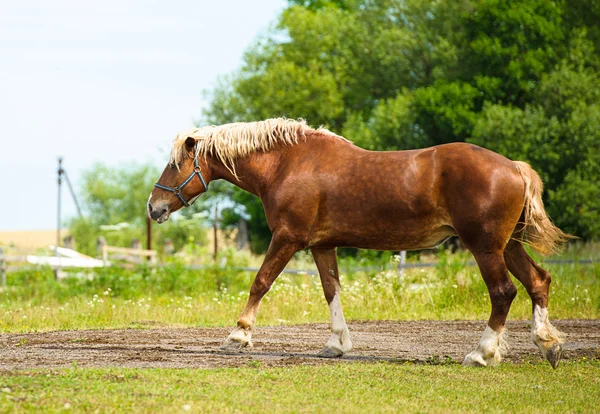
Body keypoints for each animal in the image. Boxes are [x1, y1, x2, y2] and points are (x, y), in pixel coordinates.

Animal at [148, 118, 568, 368]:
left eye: (175, 164)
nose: (154, 207)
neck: (287, 164)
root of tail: (514, 167)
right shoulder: (321, 245)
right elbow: (331, 290)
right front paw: (336, 345)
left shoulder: (287, 238)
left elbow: (260, 282)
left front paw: (238, 335)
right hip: (508, 245)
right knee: (538, 282)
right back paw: (546, 344)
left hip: (484, 247)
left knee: (503, 292)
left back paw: (481, 354)